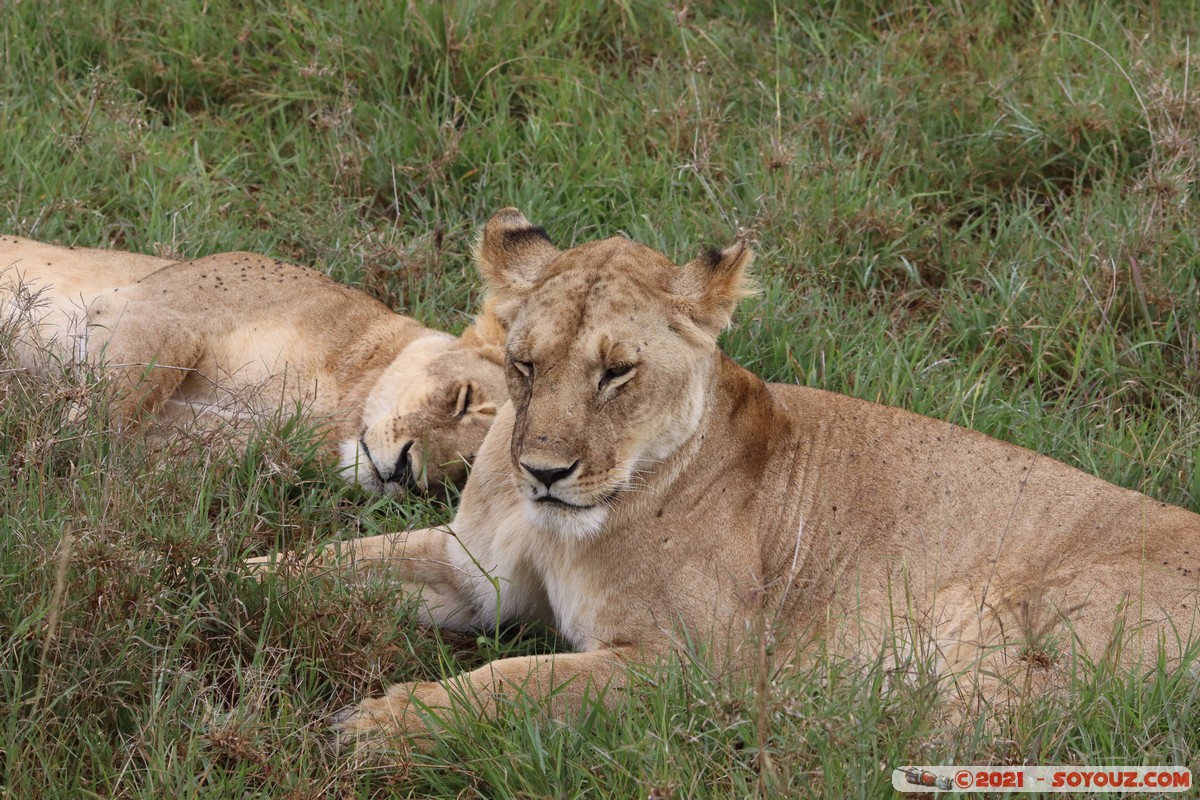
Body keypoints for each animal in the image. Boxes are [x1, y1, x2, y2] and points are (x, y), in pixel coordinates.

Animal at [0, 235, 506, 491]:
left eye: (467, 469)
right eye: (464, 400)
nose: (405, 476)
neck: (340, 408)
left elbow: (105, 447)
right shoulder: (154, 310)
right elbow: (99, 423)